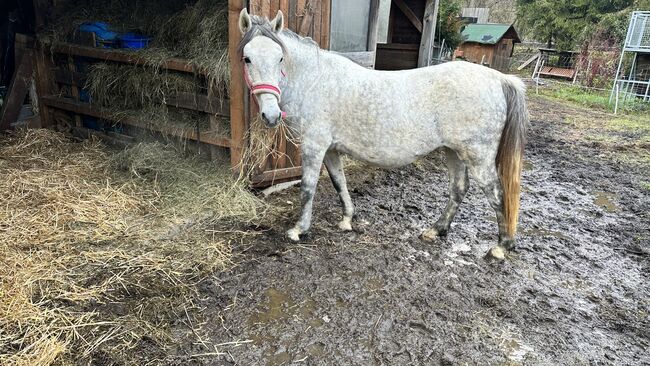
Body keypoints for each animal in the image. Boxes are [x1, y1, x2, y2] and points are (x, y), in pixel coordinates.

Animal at [237, 9, 528, 260]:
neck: (315, 81)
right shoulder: (330, 150)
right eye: (247, 59)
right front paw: (347, 220)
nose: (271, 115)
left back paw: (501, 247)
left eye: (280, 58)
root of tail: (500, 79)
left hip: (477, 155)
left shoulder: (314, 147)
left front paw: (299, 230)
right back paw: (436, 230)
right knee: (459, 188)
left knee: (496, 193)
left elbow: (308, 189)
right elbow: (340, 183)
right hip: (453, 151)